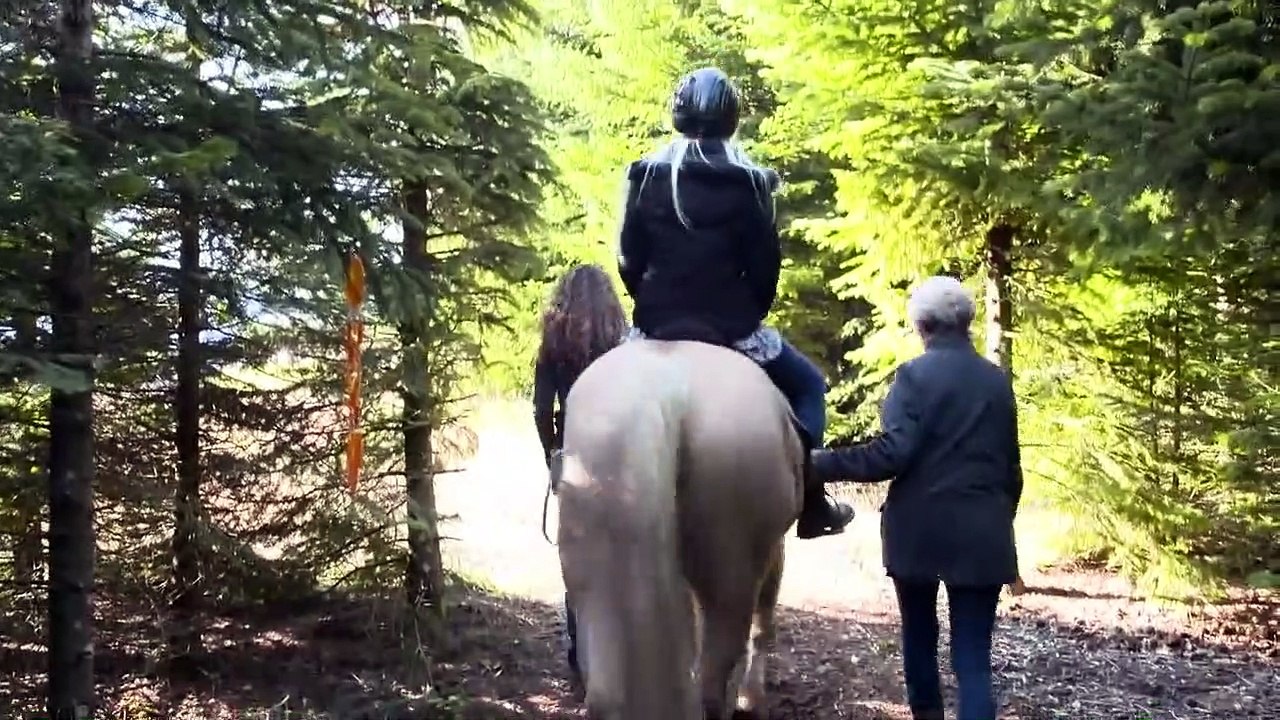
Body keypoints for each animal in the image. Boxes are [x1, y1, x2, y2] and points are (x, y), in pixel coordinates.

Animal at [555, 337, 804, 720]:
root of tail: (667, 391)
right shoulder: (773, 551)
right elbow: (764, 623)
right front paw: (753, 698)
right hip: (732, 575)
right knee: (715, 677)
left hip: (592, 571)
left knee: (605, 690)